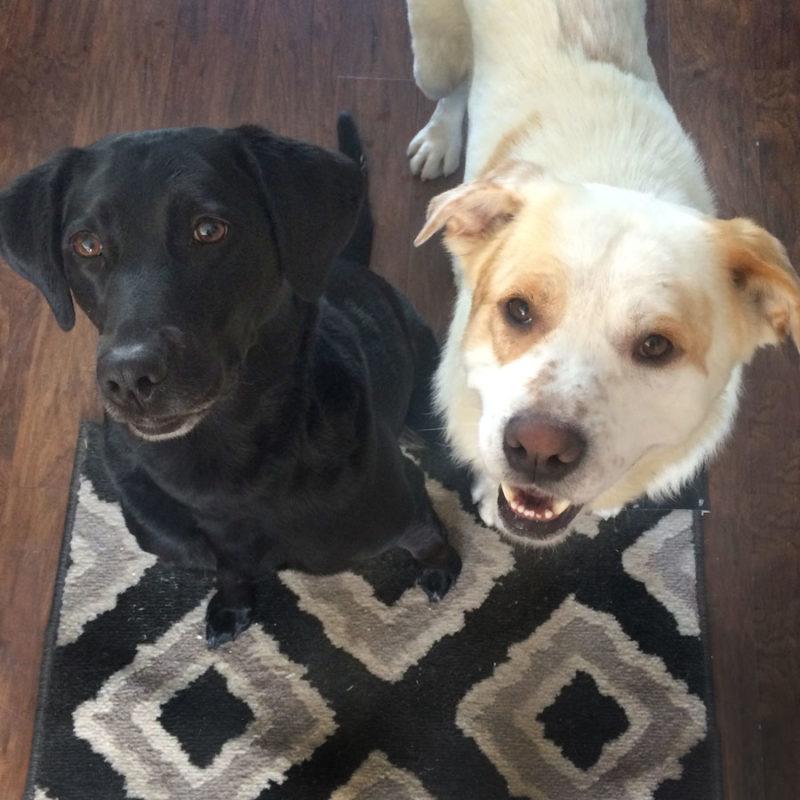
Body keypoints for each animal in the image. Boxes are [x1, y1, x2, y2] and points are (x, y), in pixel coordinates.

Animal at [0, 115, 462, 648]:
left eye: (208, 230)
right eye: (86, 245)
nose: (129, 377)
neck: (226, 458)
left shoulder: (401, 501)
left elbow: (426, 535)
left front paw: (443, 566)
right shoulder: (208, 544)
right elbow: (232, 569)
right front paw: (232, 605)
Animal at [410, 0, 796, 544]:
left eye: (656, 346)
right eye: (518, 310)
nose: (538, 449)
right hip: (433, 57)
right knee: (453, 88)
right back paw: (439, 138)